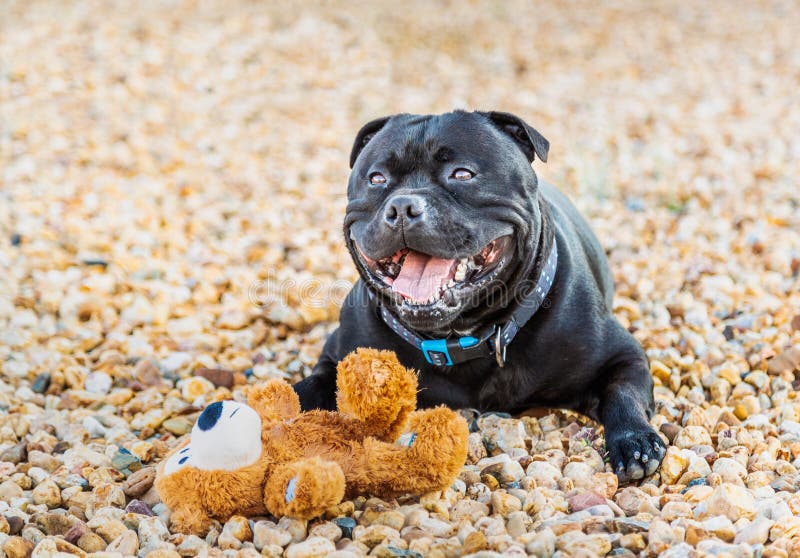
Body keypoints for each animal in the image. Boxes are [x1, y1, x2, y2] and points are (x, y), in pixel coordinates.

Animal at [296, 111, 664, 484]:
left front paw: (633, 440)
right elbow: (307, 390)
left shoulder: (623, 356)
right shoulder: (338, 360)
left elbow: (622, 392)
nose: (402, 206)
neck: (460, 337)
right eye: (376, 179)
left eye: (462, 174)